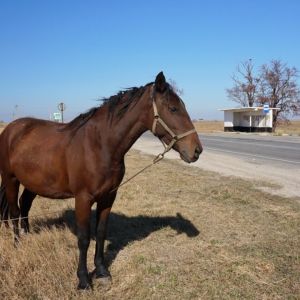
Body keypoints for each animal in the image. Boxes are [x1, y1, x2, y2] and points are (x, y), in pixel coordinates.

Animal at [0, 72, 203, 288]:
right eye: (173, 108)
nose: (197, 150)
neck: (100, 145)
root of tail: (11, 129)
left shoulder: (108, 197)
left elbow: (100, 233)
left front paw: (102, 271)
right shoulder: (83, 199)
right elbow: (83, 238)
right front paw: (83, 280)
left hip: (34, 183)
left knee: (25, 205)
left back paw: (27, 235)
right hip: (11, 179)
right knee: (14, 211)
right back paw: (18, 244)